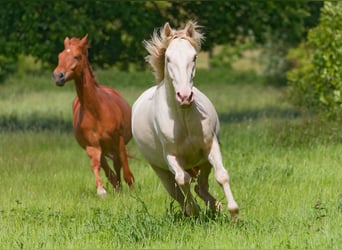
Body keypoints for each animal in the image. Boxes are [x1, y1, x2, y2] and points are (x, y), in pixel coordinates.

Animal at [52, 34, 134, 195]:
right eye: (60, 56)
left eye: (77, 56)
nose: (58, 76)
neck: (97, 111)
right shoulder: (92, 146)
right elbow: (97, 166)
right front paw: (101, 190)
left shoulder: (119, 142)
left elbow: (127, 171)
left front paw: (133, 192)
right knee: (109, 170)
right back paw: (117, 189)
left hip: (114, 147)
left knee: (118, 166)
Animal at [131, 21, 238, 217]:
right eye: (168, 58)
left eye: (194, 57)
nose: (185, 96)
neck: (183, 118)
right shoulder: (171, 157)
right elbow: (183, 180)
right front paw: (194, 211)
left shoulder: (210, 147)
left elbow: (222, 175)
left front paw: (234, 213)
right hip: (160, 170)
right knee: (178, 193)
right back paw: (192, 210)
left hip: (203, 162)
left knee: (201, 187)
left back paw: (216, 207)